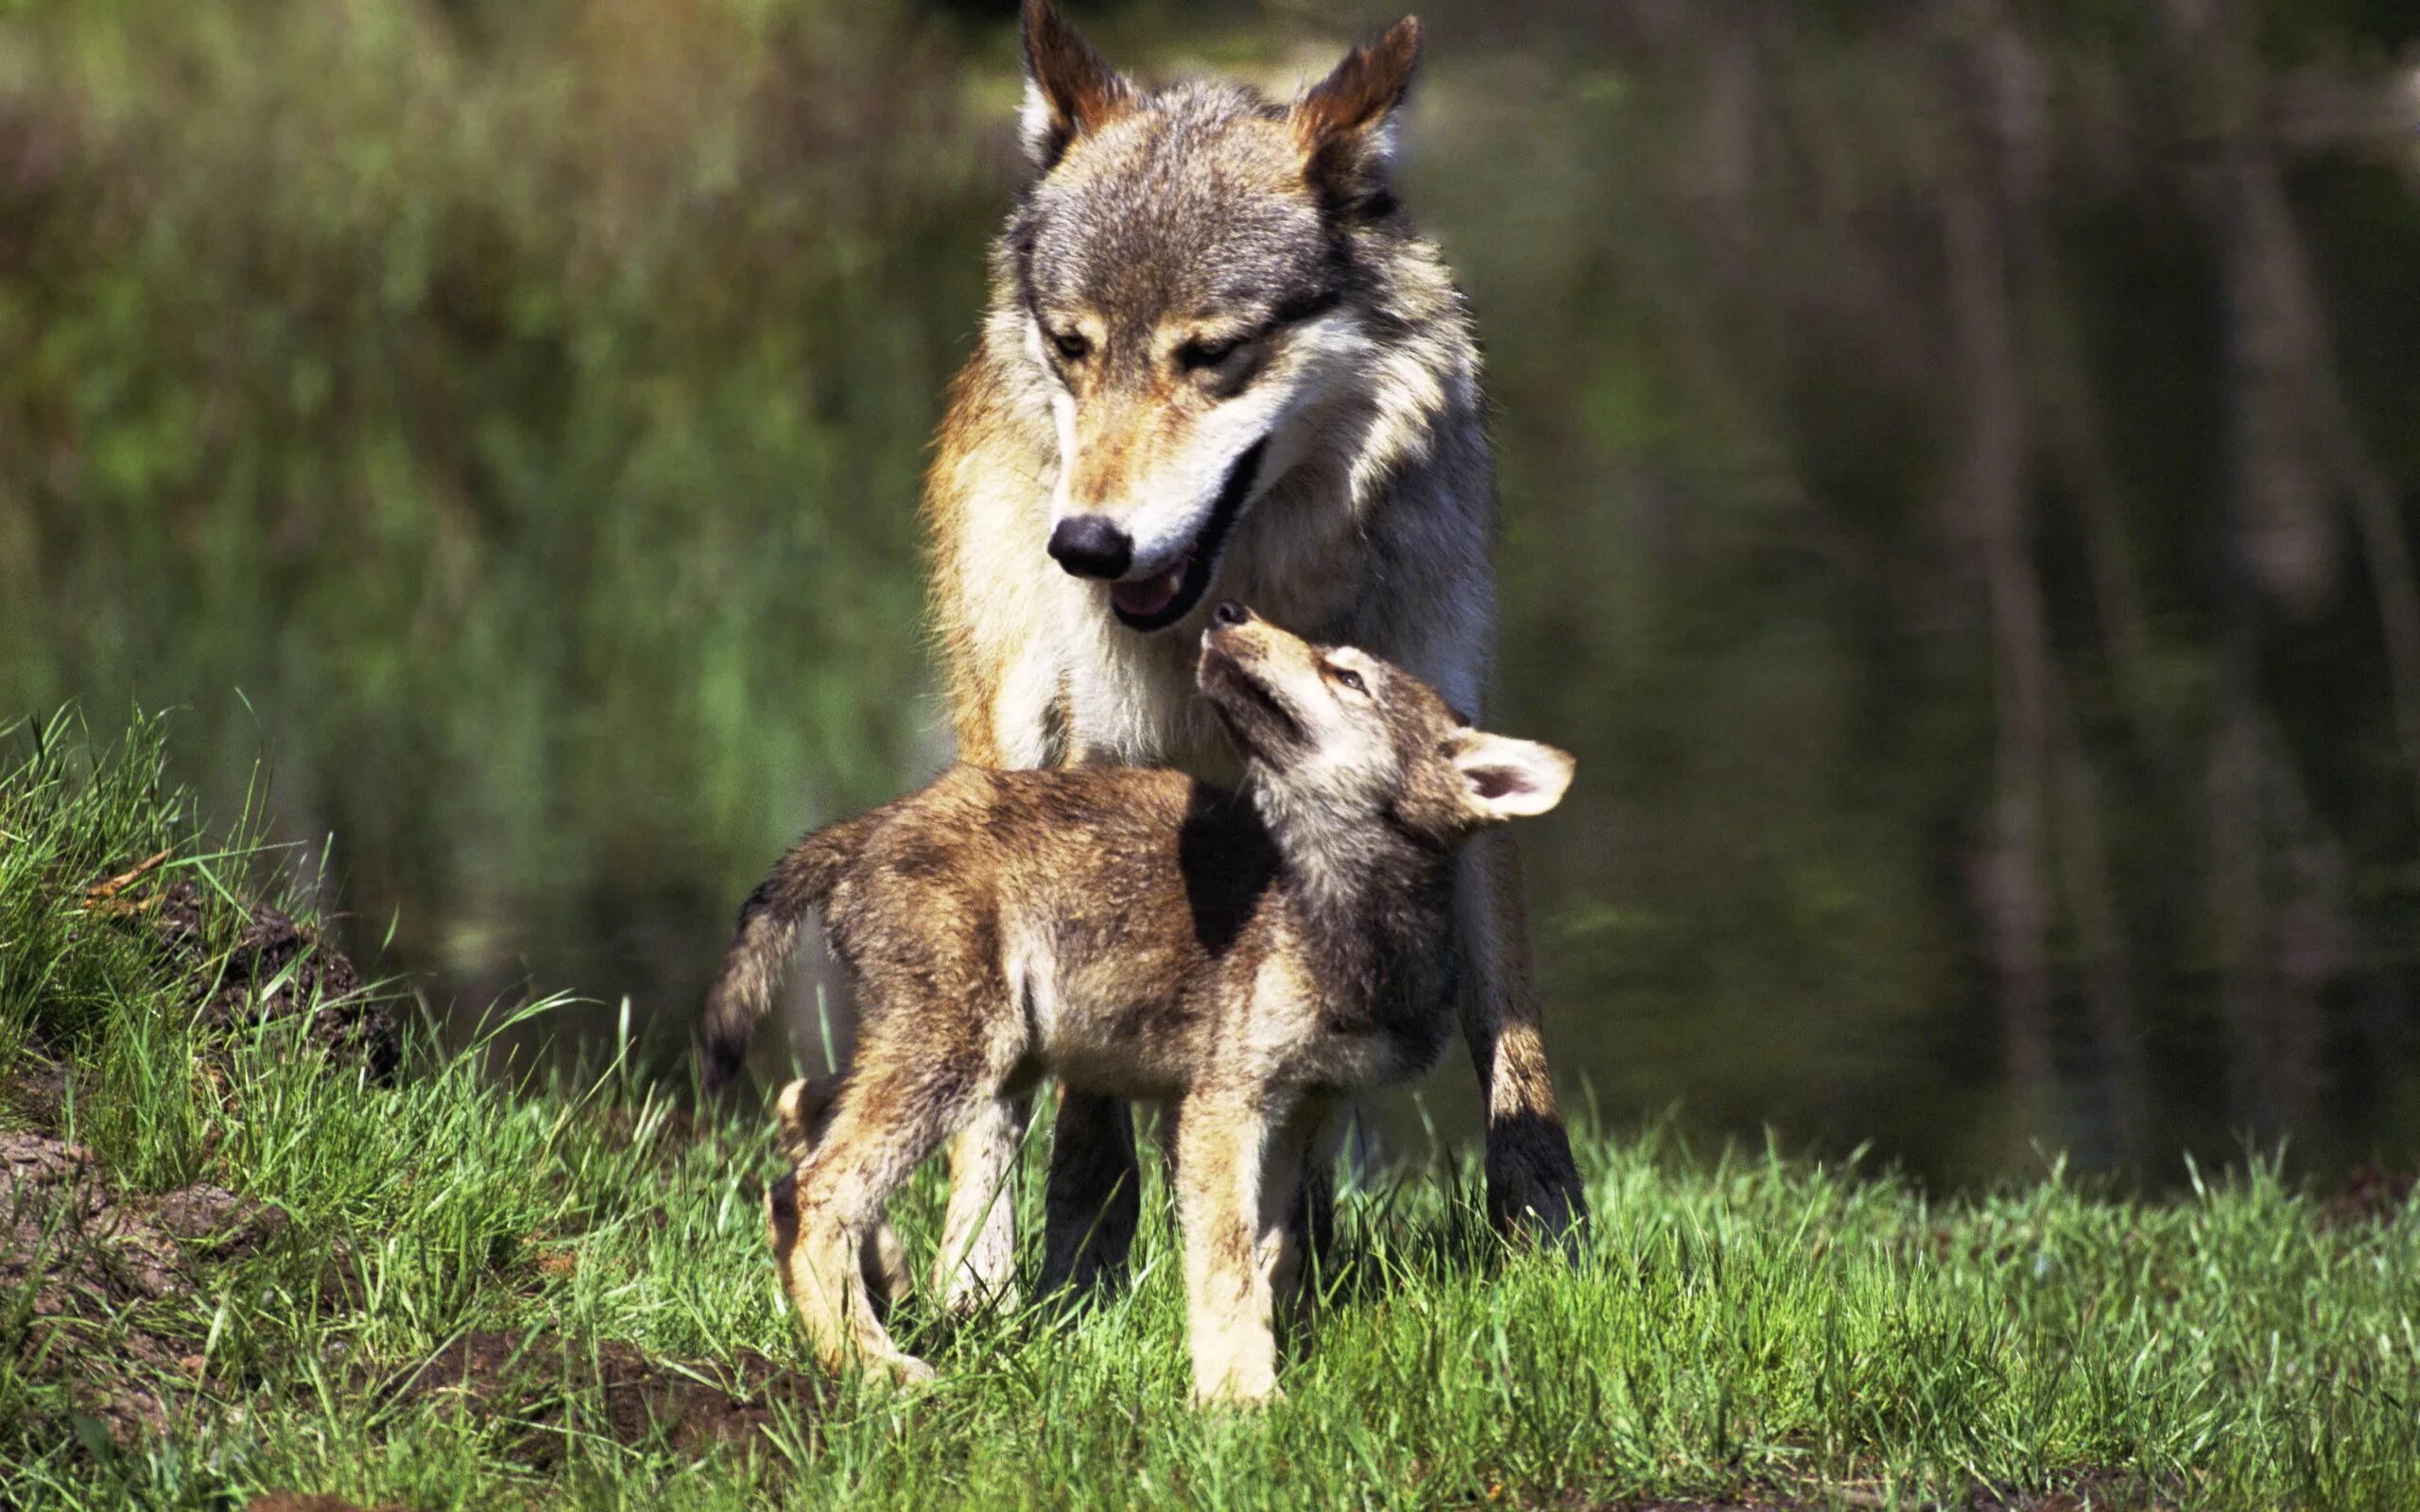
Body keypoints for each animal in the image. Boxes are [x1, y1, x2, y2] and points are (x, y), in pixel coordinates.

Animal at [706, 605, 1567, 1402]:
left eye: (1347, 676)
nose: (1230, 611)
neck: (1342, 916)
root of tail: (871, 823)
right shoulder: (1222, 1107)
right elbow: (1225, 1267)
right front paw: (1241, 1405)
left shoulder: (1305, 1109)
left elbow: (1270, 1258)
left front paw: (1251, 1373)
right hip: (963, 1056)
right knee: (814, 1194)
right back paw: (871, 1363)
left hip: (986, 1057)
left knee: (799, 1117)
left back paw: (884, 1285)